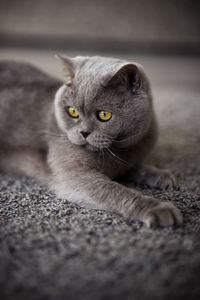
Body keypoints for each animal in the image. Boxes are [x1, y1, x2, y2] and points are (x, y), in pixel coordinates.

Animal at [0, 56, 183, 227]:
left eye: (104, 115)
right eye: (72, 111)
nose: (84, 132)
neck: (120, 149)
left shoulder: (126, 160)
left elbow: (135, 167)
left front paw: (161, 176)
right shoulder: (74, 173)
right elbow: (115, 191)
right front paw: (159, 208)